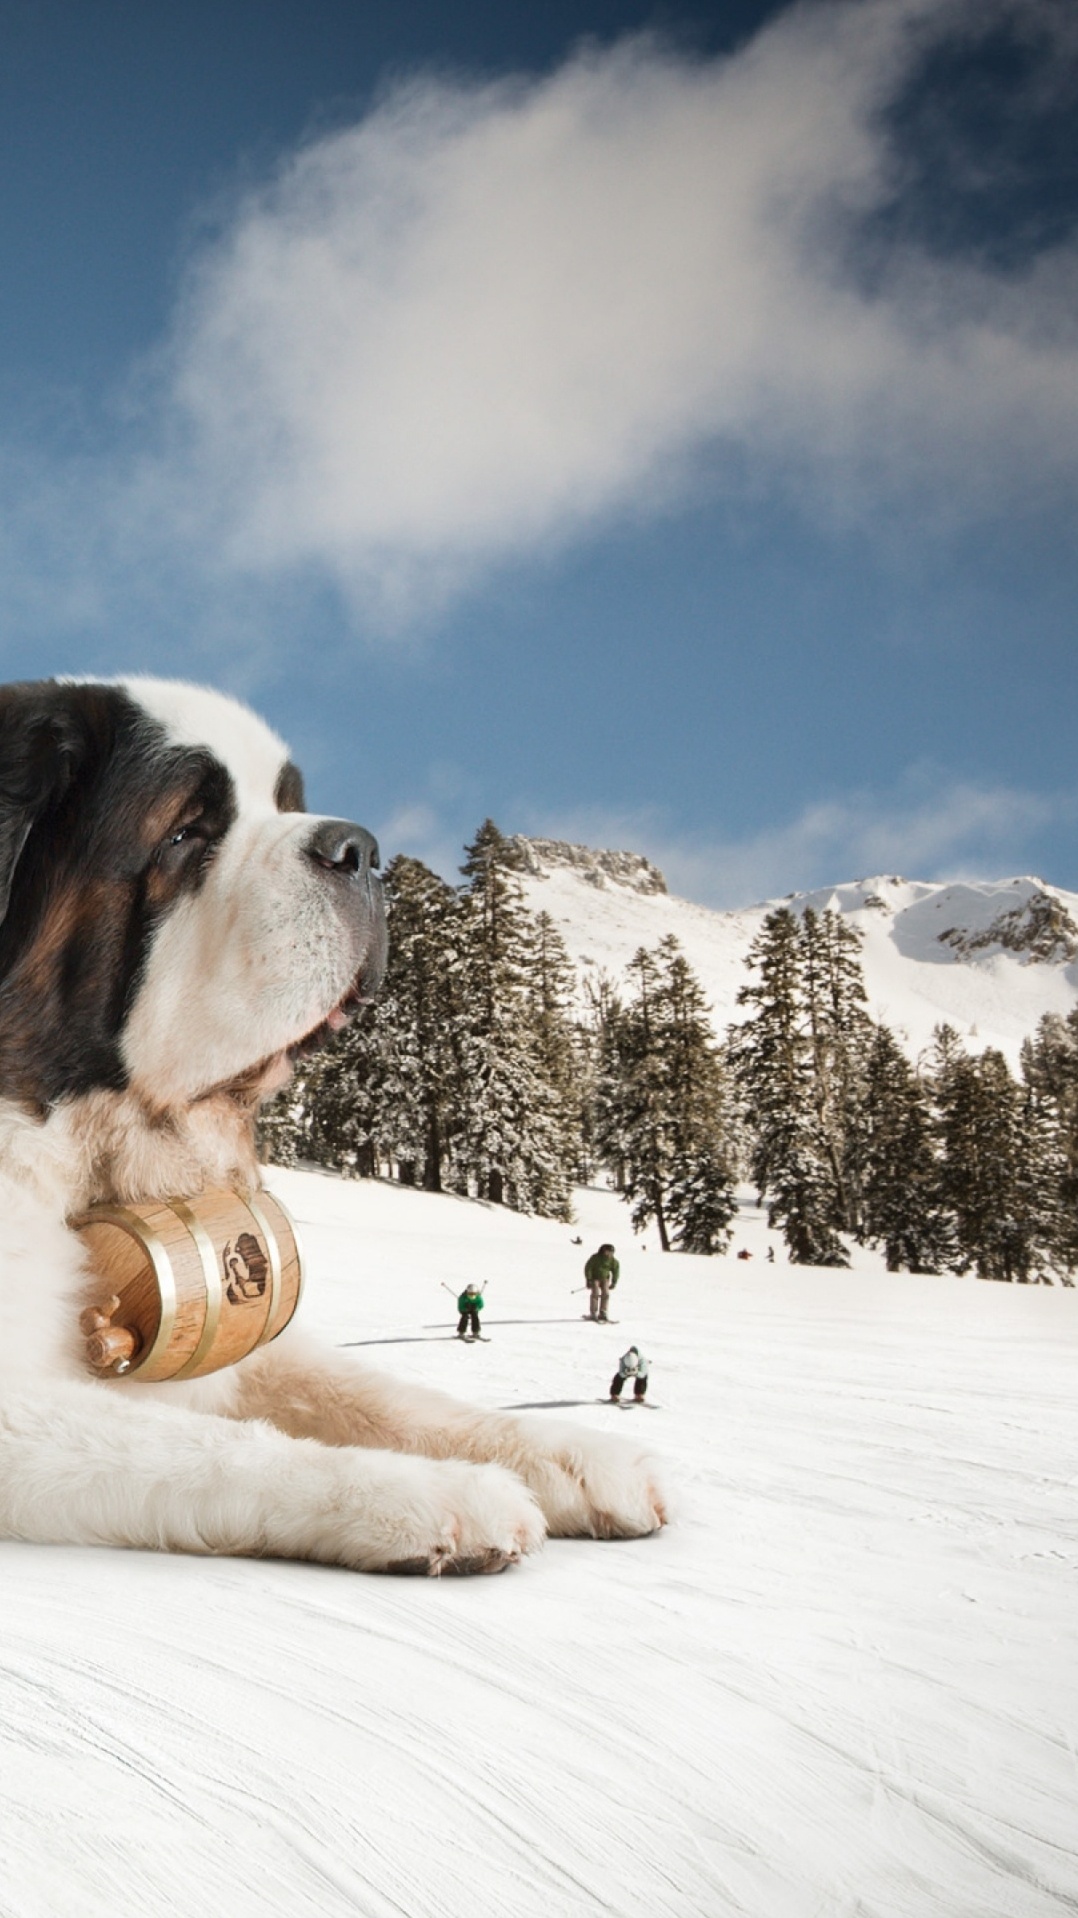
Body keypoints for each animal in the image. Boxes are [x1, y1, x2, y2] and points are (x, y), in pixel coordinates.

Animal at [0, 675, 663, 1572]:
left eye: (286, 804)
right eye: (186, 831)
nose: (360, 849)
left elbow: (376, 1393)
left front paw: (570, 1453)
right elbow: (195, 1442)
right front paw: (433, 1495)